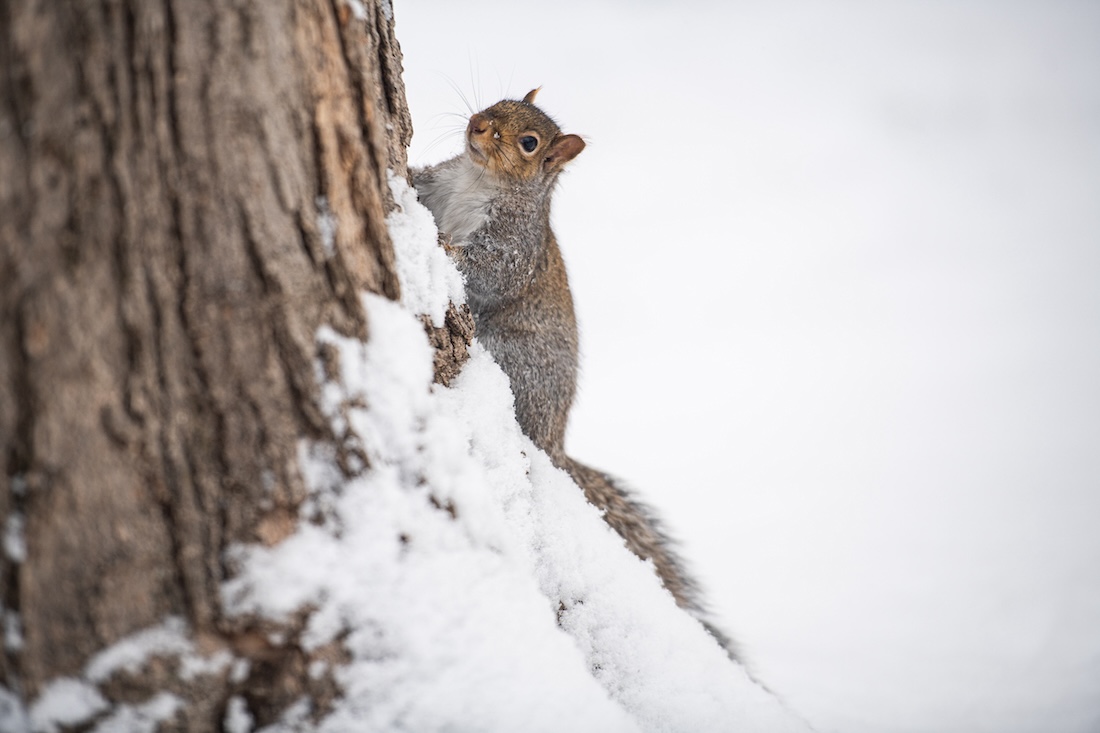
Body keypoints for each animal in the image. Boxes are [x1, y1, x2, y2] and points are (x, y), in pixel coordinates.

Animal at [411, 89, 736, 659]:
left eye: (529, 143)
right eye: (499, 101)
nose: (478, 125)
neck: (479, 179)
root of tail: (554, 444)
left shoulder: (511, 246)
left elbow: (483, 272)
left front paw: (443, 245)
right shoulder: (442, 181)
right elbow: (420, 180)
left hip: (515, 361)